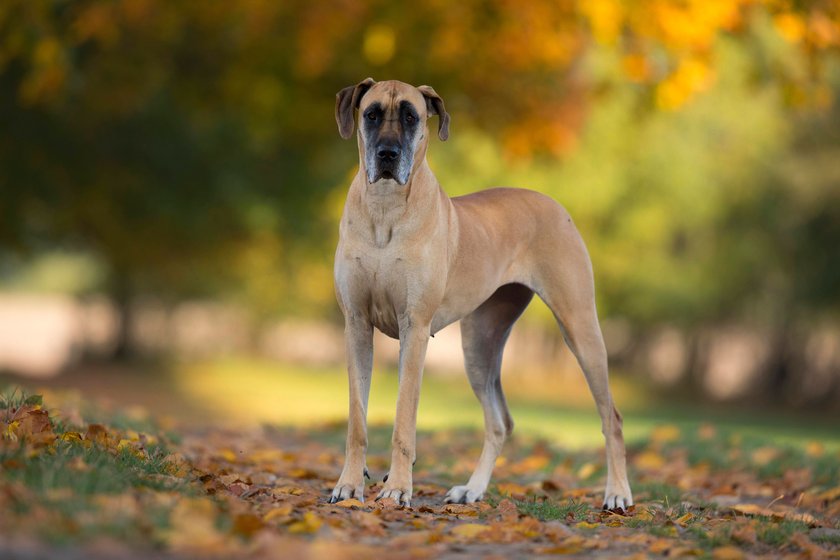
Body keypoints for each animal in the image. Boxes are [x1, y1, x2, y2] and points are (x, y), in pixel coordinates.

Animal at [328, 79, 632, 512]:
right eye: (371, 115)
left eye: (411, 116)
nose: (387, 154)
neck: (384, 209)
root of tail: (555, 204)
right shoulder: (356, 324)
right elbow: (357, 419)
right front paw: (349, 485)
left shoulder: (414, 328)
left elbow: (404, 419)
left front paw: (398, 488)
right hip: (479, 343)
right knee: (500, 421)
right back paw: (472, 489)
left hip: (580, 328)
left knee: (612, 419)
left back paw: (618, 493)